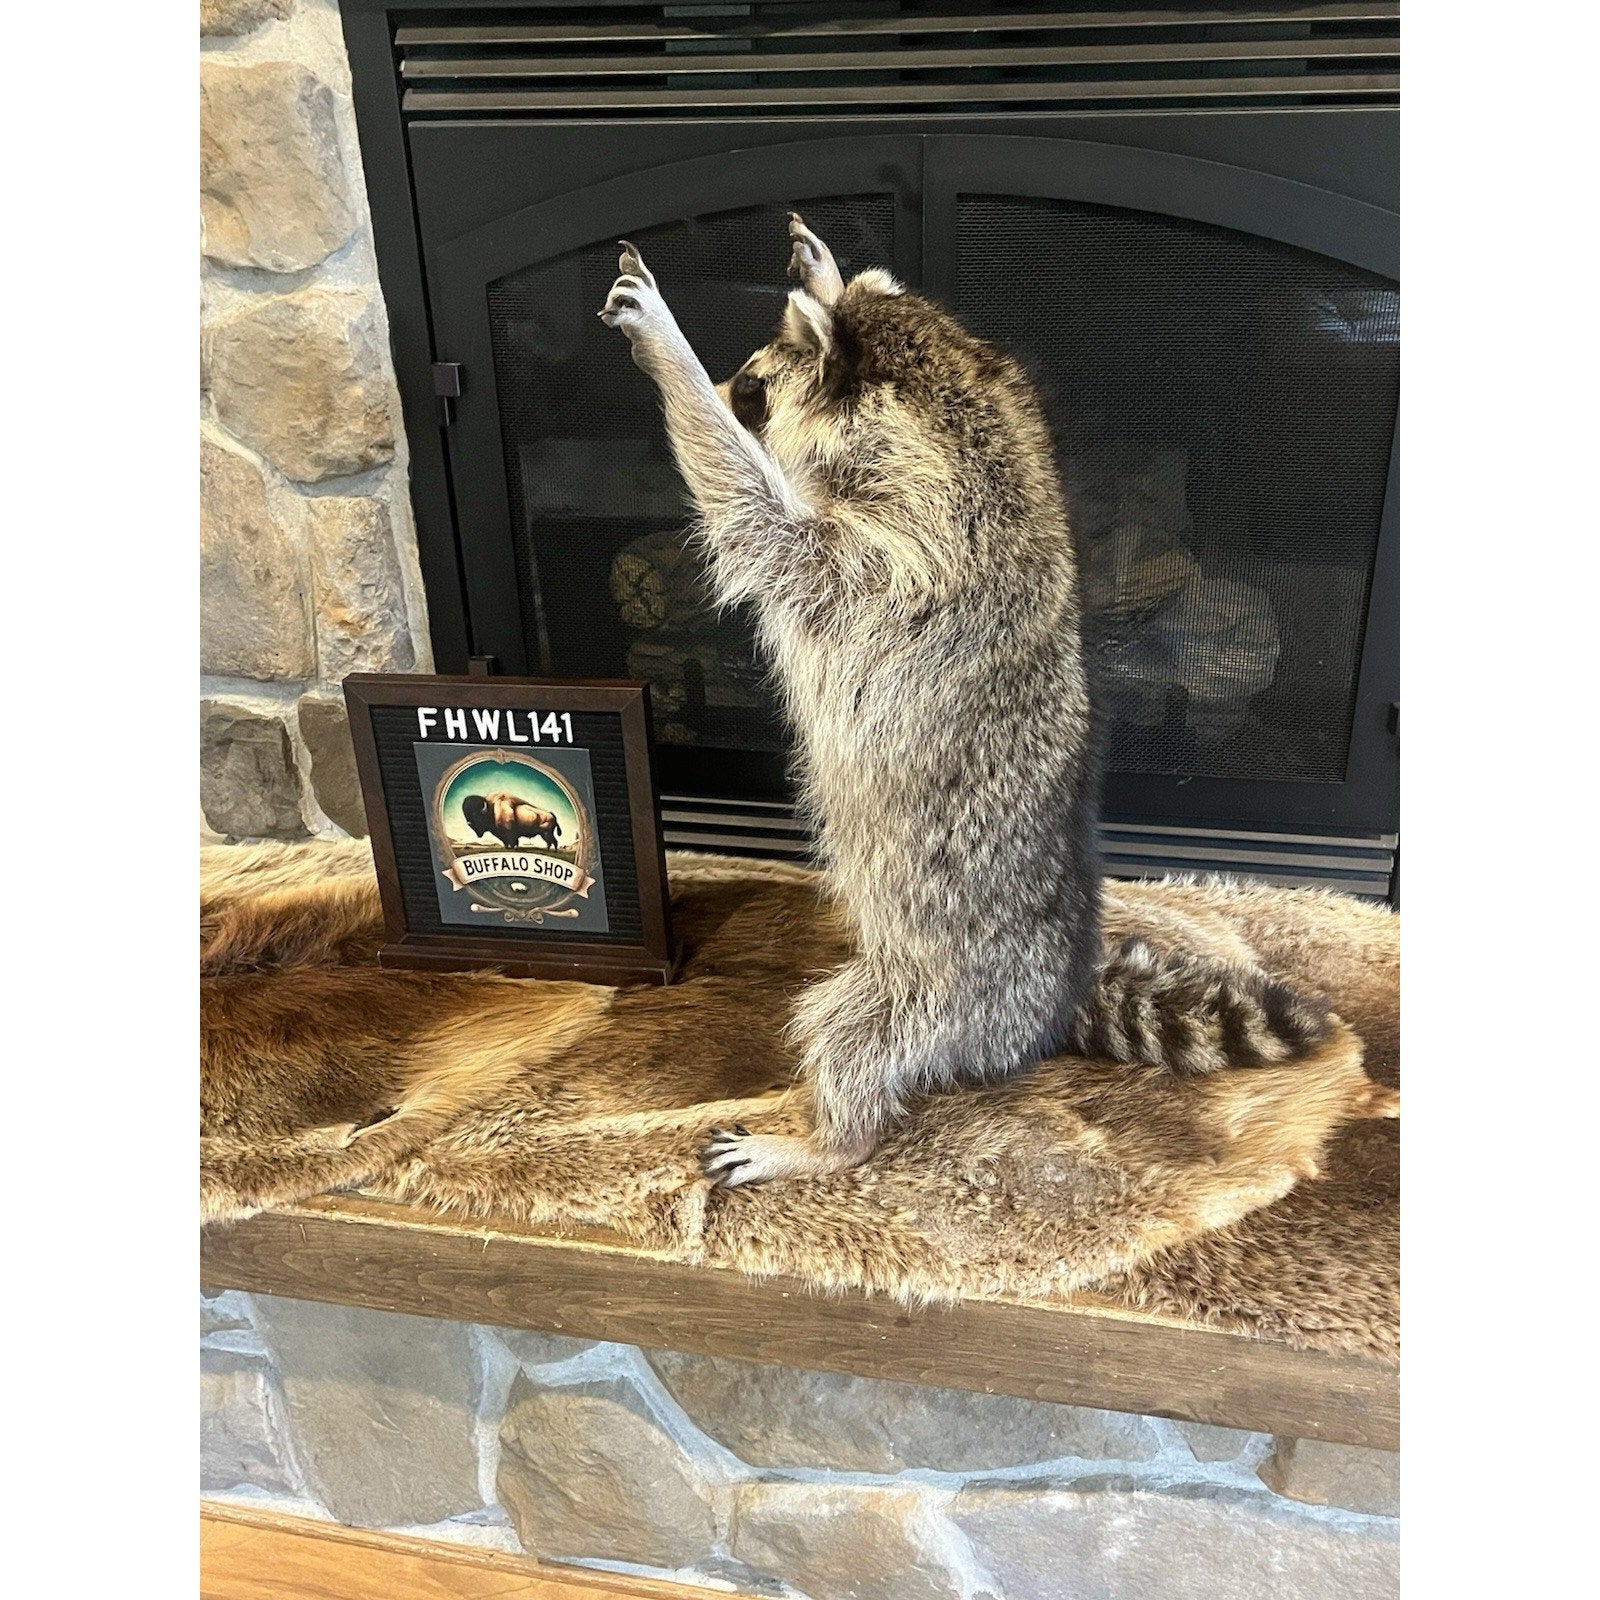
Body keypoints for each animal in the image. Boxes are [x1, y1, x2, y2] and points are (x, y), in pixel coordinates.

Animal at [600, 218, 1330, 1187]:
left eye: (751, 390)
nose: (724, 388)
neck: (950, 410)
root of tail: (1052, 1001)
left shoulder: (893, 563)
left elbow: (755, 514)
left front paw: (672, 366)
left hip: (941, 990)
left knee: (853, 1032)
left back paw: (830, 1137)